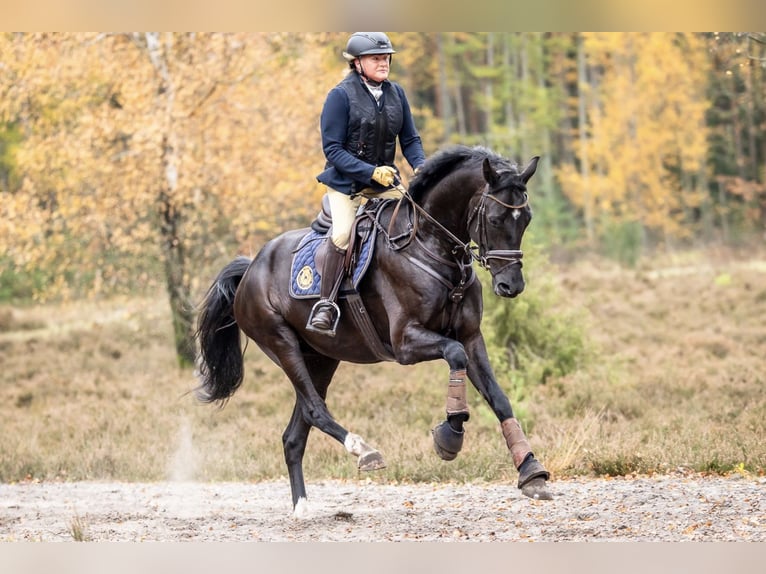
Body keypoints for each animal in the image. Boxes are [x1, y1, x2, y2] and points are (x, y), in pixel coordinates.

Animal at [195, 145, 553, 517]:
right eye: (495, 219)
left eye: (526, 219)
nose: (511, 286)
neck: (430, 244)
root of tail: (250, 267)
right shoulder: (406, 342)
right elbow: (454, 356)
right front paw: (450, 435)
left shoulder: (471, 337)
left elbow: (499, 398)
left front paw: (531, 471)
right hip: (281, 343)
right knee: (313, 408)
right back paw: (363, 450)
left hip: (321, 358)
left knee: (295, 432)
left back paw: (303, 506)